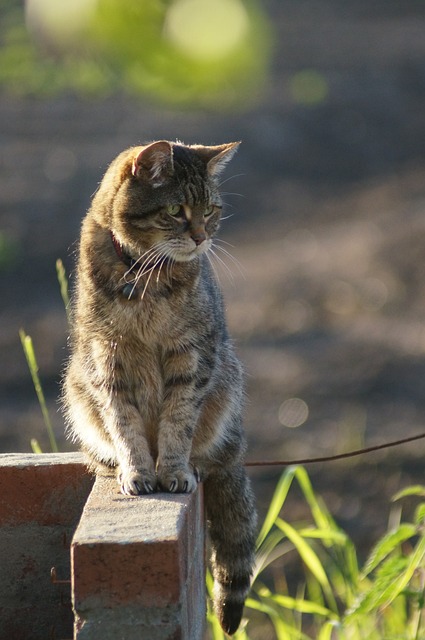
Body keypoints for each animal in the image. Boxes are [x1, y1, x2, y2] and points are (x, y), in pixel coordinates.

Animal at [62, 140, 255, 636]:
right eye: (175, 210)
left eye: (211, 210)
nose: (202, 238)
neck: (145, 275)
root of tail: (235, 444)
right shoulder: (106, 359)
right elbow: (125, 425)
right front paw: (137, 472)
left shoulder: (192, 355)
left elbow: (177, 422)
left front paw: (172, 471)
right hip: (77, 389)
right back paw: (112, 466)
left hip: (226, 384)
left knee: (206, 449)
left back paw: (197, 464)